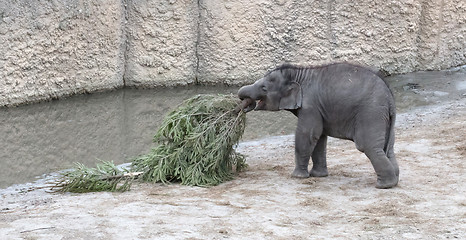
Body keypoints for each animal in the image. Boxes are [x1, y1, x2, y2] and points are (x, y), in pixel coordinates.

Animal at [238, 62, 398, 189]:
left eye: (264, 88)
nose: (244, 105)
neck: (298, 73)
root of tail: (390, 98)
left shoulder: (310, 106)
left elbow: (307, 135)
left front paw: (297, 177)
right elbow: (319, 138)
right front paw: (318, 175)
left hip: (371, 113)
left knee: (368, 146)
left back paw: (384, 185)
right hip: (383, 118)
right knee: (388, 148)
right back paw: (394, 180)